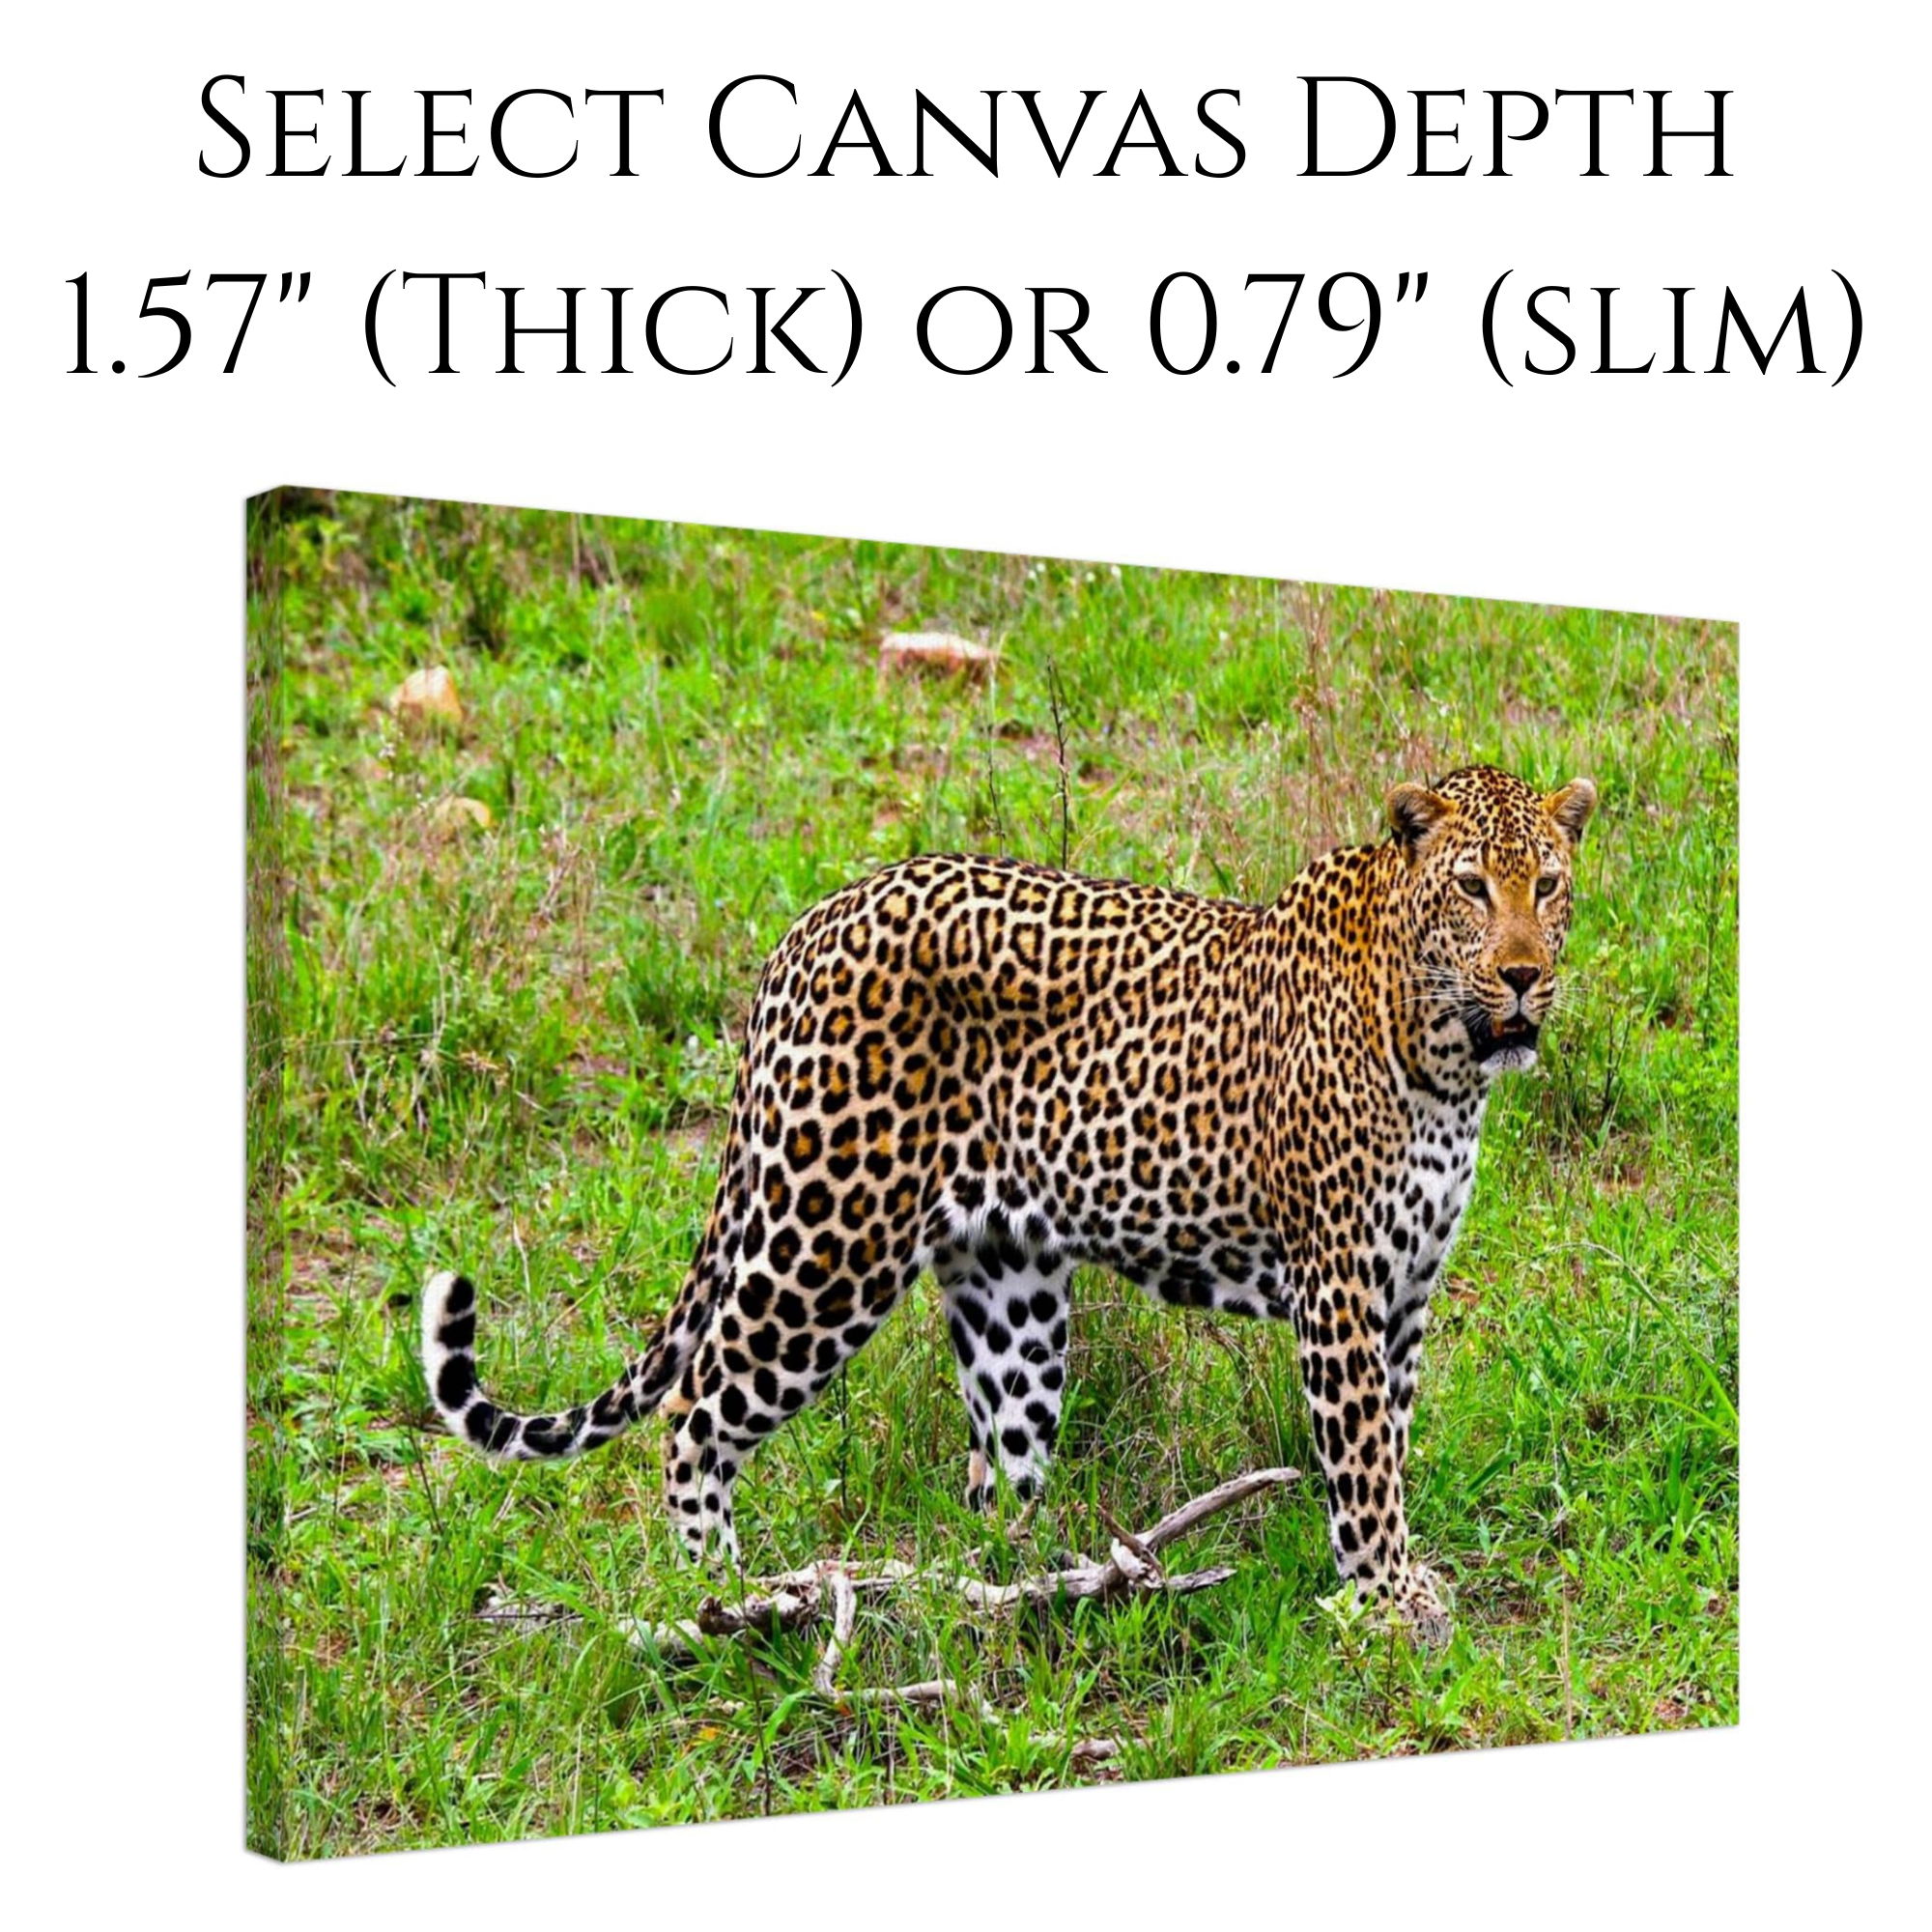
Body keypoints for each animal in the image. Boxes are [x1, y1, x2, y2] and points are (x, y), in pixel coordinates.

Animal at [422, 763, 1596, 1638]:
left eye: (1545, 884)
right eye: (1470, 889)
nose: (1523, 974)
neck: (1447, 1057)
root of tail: (801, 932)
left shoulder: (1407, 1288)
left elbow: (1388, 1435)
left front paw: (1390, 1579)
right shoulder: (1340, 1283)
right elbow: (1359, 1455)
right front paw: (1385, 1598)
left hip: (1008, 1293)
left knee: (995, 1478)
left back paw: (1033, 1588)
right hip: (824, 1241)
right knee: (696, 1407)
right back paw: (718, 1592)